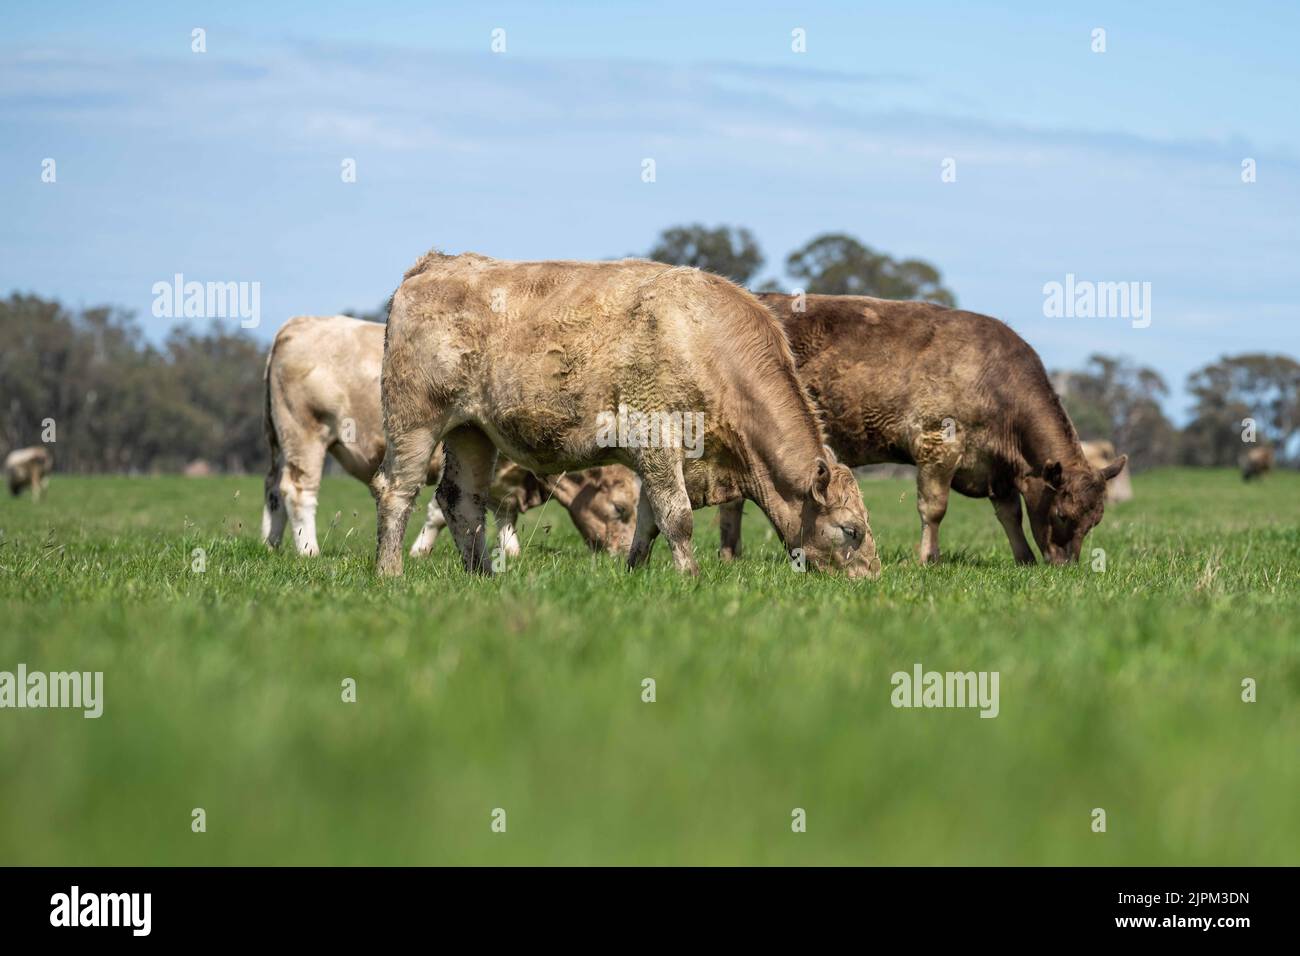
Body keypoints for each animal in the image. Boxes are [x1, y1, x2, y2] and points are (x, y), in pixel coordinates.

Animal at [263, 314, 640, 558]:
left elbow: (504, 510)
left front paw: (510, 550)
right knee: (297, 490)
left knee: (273, 491)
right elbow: (442, 510)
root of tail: (297, 323)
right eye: (620, 509)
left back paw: (271, 545)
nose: (622, 554)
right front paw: (420, 551)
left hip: (280, 443)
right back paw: (309, 551)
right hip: (305, 433)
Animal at [374, 251, 880, 579]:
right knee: (397, 491)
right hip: (415, 422)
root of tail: (435, 263)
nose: (873, 578)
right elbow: (677, 516)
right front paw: (690, 578)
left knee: (461, 502)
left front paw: (634, 573)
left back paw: (482, 575)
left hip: (470, 432)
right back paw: (390, 572)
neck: (707, 342)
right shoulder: (657, 437)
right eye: (851, 530)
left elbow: (650, 519)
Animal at [719, 294, 1126, 566]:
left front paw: (1023, 558)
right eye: (1061, 515)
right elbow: (934, 508)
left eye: (1095, 520)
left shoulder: (996, 468)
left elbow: (1010, 513)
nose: (1065, 565)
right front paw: (928, 558)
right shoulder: (938, 443)